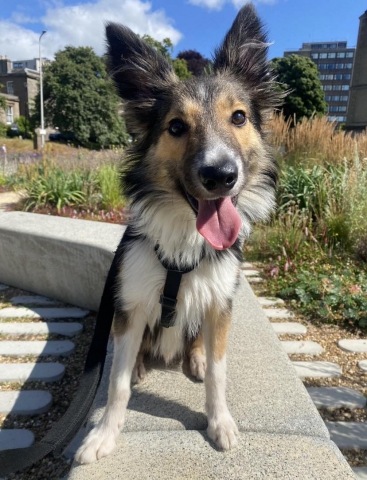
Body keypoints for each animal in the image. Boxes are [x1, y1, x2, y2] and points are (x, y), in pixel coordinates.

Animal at [75, 1, 282, 464]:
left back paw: (197, 357)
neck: (186, 239)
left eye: (238, 117)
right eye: (175, 127)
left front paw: (219, 422)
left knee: (198, 343)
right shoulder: (131, 302)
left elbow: (220, 375)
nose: (221, 175)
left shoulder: (219, 301)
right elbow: (115, 384)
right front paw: (103, 434)